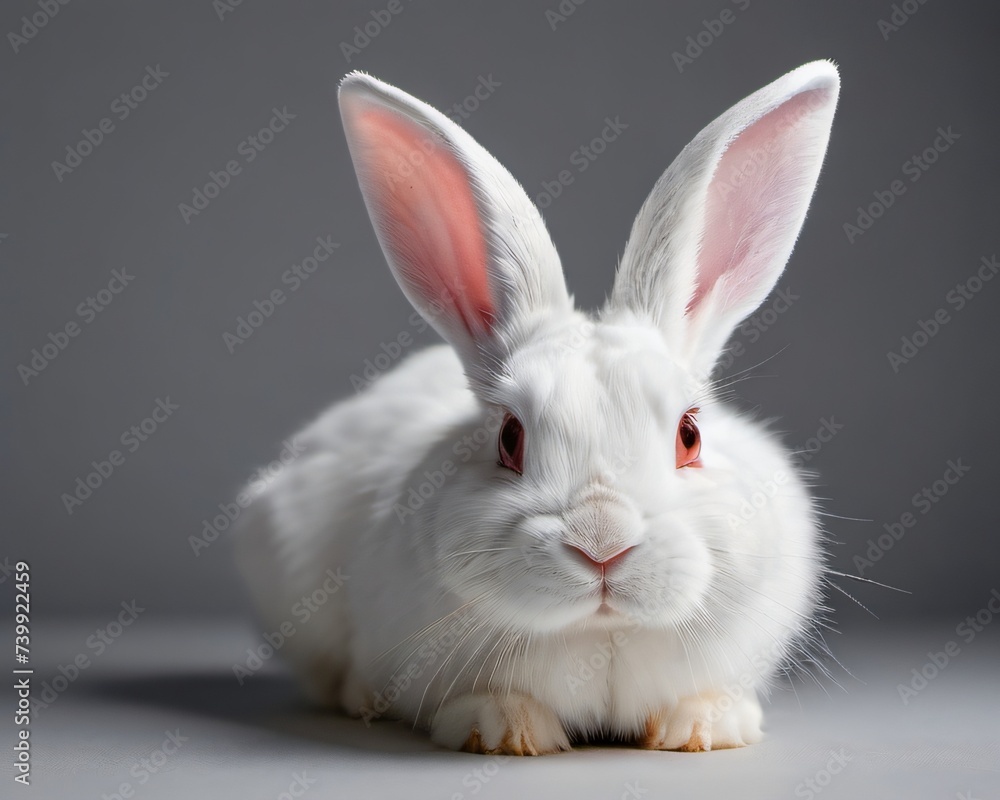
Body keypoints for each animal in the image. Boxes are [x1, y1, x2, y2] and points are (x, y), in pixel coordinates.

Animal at [238, 59, 840, 752]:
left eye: (689, 436)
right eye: (510, 438)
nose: (603, 545)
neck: (600, 635)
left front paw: (705, 726)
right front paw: (506, 729)